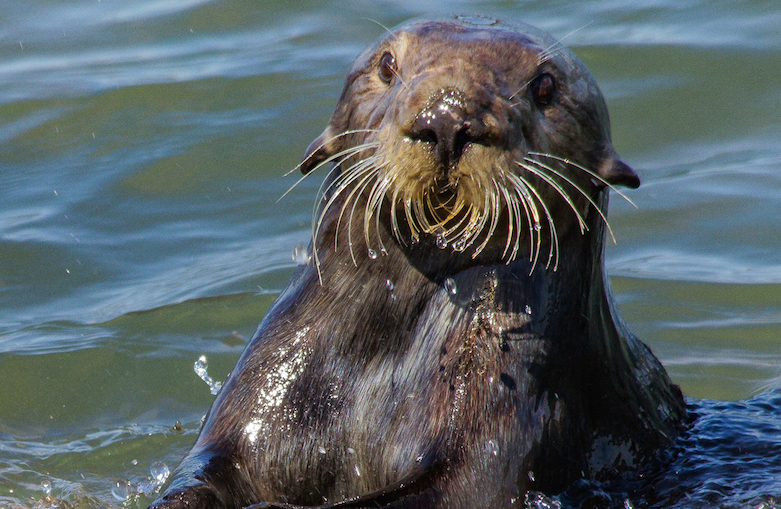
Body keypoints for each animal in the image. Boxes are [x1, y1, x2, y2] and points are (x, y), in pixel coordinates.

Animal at [148, 17, 686, 509]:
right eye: (387, 65)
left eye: (545, 86)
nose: (447, 118)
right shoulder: (261, 398)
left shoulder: (513, 417)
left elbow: (461, 487)